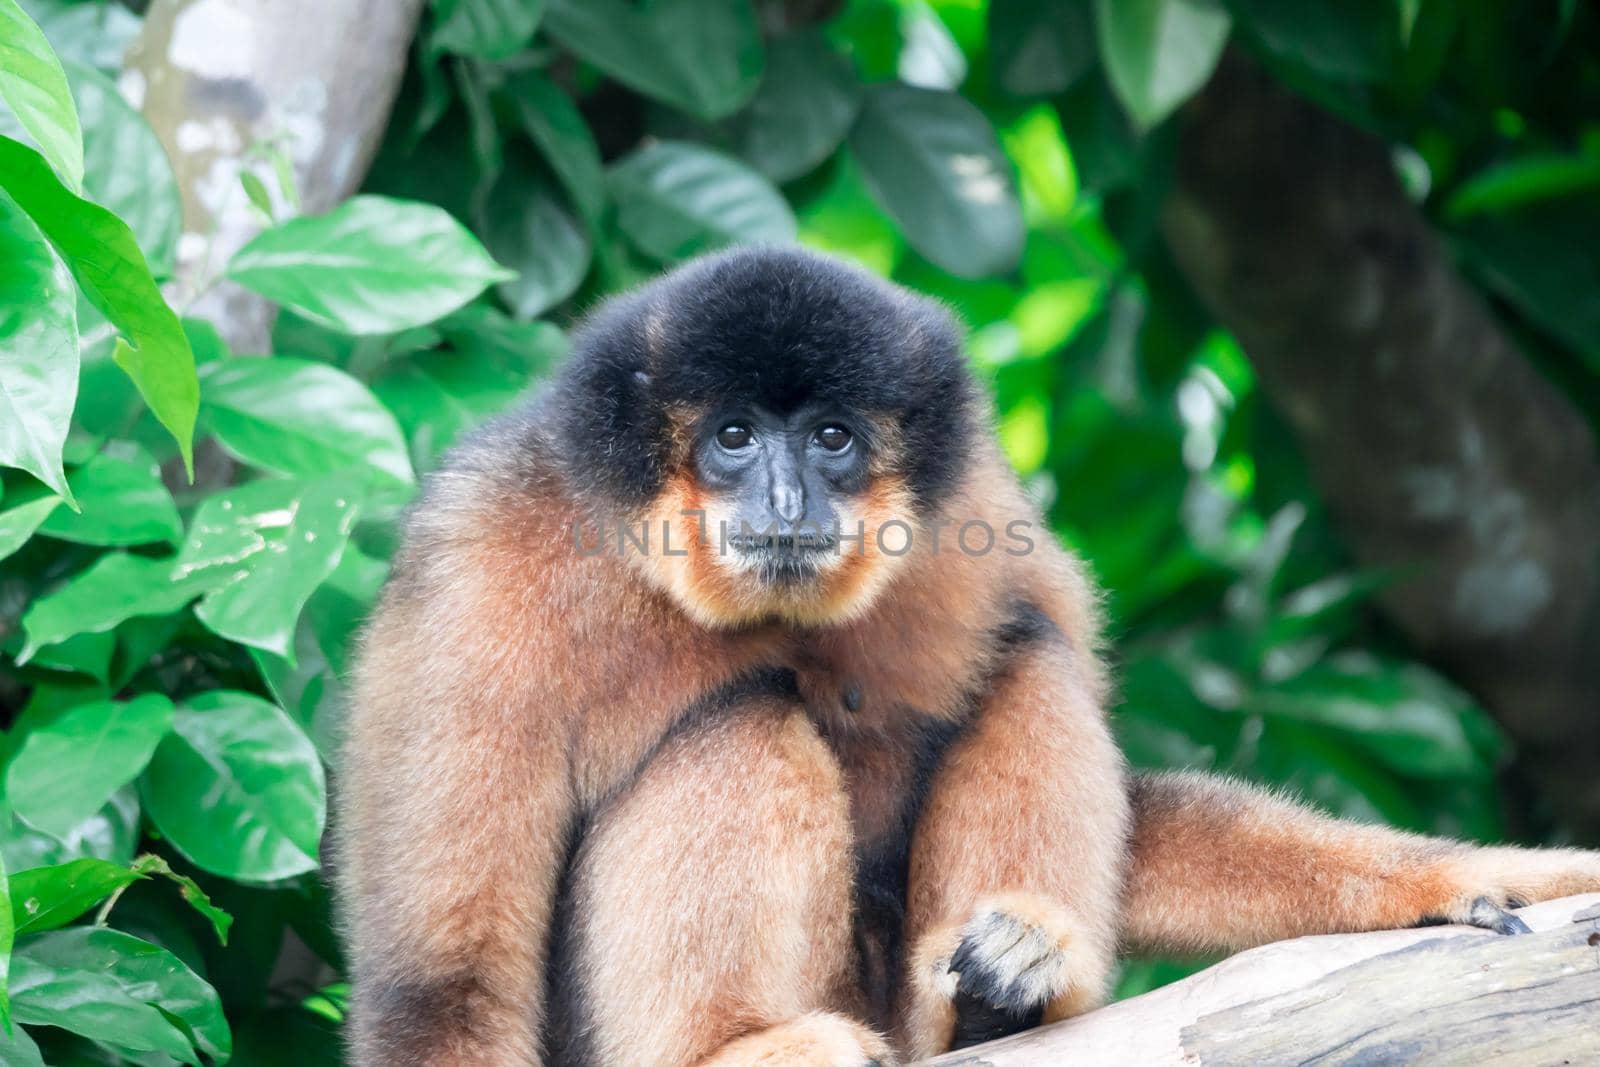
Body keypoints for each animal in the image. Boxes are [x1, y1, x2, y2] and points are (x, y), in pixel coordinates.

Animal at [340, 246, 1600, 1062]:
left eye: (833, 438)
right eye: (734, 436)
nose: (789, 497)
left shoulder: (984, 516)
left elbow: (1131, 804)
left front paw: (1475, 880)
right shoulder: (478, 570)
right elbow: (443, 985)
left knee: (1024, 657)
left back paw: (1008, 990)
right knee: (733, 718)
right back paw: (736, 1043)